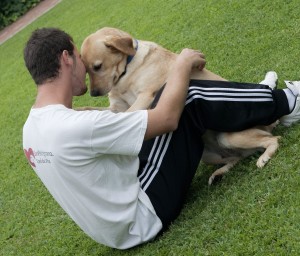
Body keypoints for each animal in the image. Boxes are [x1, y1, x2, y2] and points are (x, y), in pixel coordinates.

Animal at [81, 27, 280, 184]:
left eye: (97, 67)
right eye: (86, 70)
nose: (93, 93)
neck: (126, 72)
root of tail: (271, 124)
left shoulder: (145, 97)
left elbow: (129, 114)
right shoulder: (115, 107)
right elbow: (94, 110)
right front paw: (81, 111)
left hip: (229, 137)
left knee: (273, 140)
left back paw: (264, 158)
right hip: (209, 155)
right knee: (235, 158)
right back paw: (218, 174)